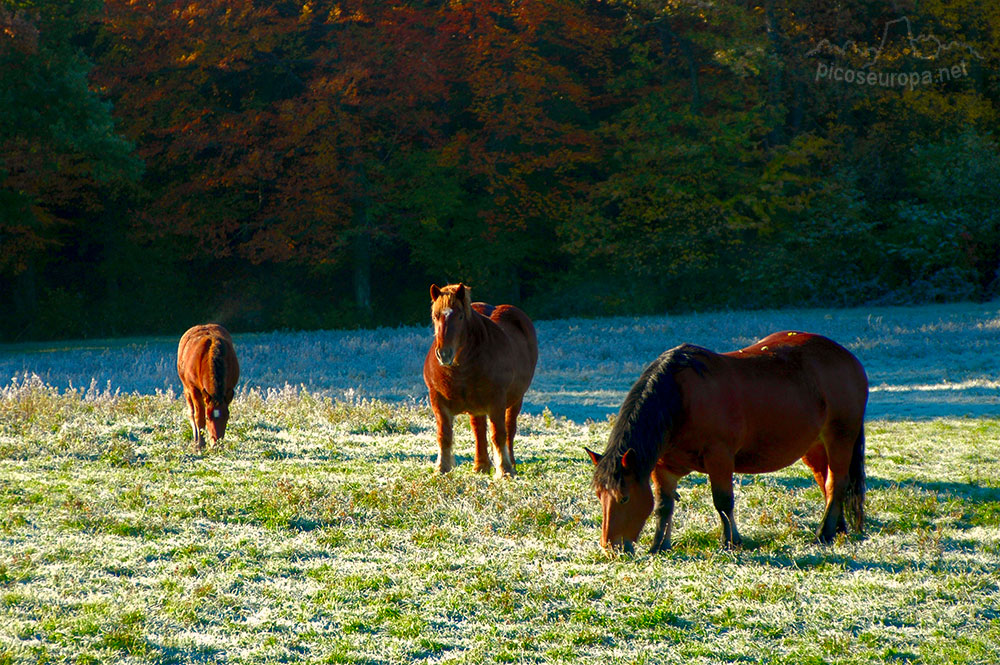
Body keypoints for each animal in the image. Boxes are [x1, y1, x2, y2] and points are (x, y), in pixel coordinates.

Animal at [176, 322, 238, 452]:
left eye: (226, 417)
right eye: (208, 418)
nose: (216, 445)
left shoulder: (229, 389)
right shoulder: (194, 390)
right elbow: (198, 416)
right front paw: (200, 445)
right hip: (186, 389)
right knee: (191, 413)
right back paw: (196, 440)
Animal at [424, 284, 540, 478]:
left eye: (460, 316)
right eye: (435, 316)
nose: (444, 354)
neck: (460, 369)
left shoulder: (497, 401)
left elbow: (498, 435)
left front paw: (505, 470)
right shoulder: (438, 401)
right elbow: (444, 435)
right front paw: (442, 469)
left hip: (516, 399)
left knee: (509, 429)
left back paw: (510, 463)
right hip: (476, 407)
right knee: (478, 431)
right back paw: (481, 466)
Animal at [584, 330, 868, 552]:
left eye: (624, 498)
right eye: (599, 496)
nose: (610, 547)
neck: (679, 399)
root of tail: (850, 359)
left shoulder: (719, 458)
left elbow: (722, 501)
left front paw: (731, 541)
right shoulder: (663, 468)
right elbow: (664, 506)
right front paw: (659, 545)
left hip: (840, 436)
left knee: (836, 482)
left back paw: (824, 533)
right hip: (814, 446)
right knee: (826, 480)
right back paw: (838, 528)